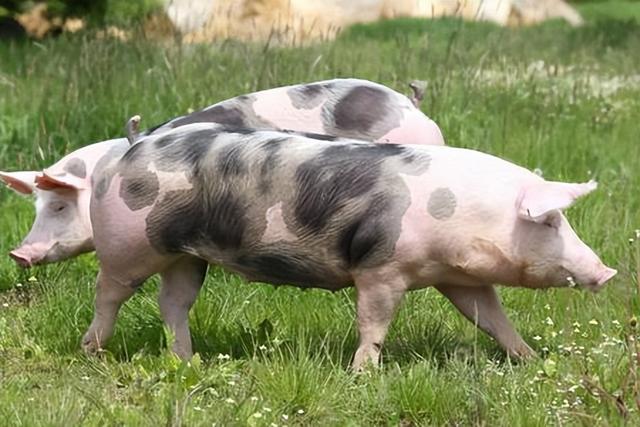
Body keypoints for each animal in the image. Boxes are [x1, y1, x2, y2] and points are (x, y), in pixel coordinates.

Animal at [82, 122, 616, 367]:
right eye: (550, 222)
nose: (607, 272)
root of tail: (130, 147)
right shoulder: (380, 266)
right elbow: (374, 322)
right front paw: (363, 372)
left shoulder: (458, 279)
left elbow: (491, 318)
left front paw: (532, 359)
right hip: (127, 245)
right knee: (108, 292)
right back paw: (94, 350)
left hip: (186, 256)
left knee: (173, 302)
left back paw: (186, 360)